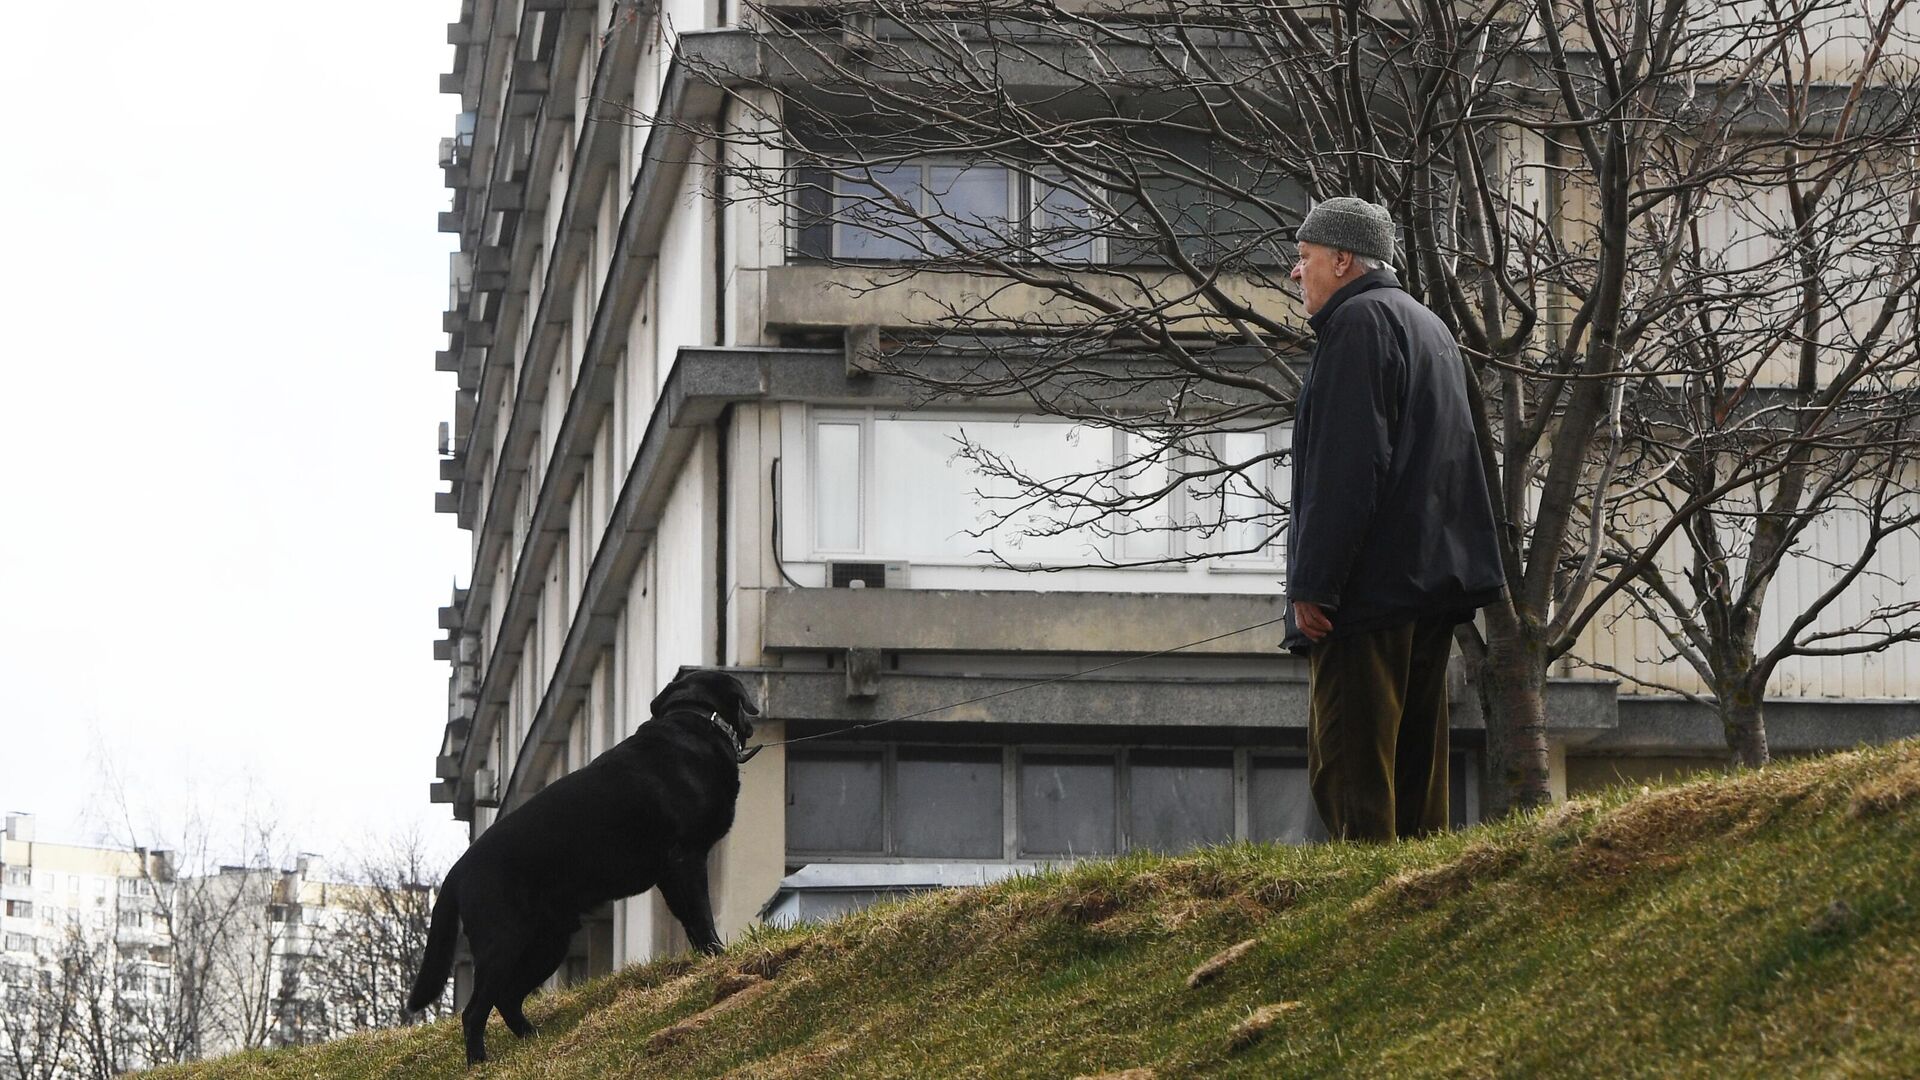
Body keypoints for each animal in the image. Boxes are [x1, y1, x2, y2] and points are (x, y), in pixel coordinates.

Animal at [405, 664, 756, 1060]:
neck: (695, 720)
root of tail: (457, 870)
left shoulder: (672, 873)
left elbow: (691, 922)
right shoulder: (686, 858)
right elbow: (702, 917)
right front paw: (717, 955)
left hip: (549, 941)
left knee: (507, 998)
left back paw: (533, 1039)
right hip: (504, 942)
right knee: (475, 1010)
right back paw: (480, 1062)